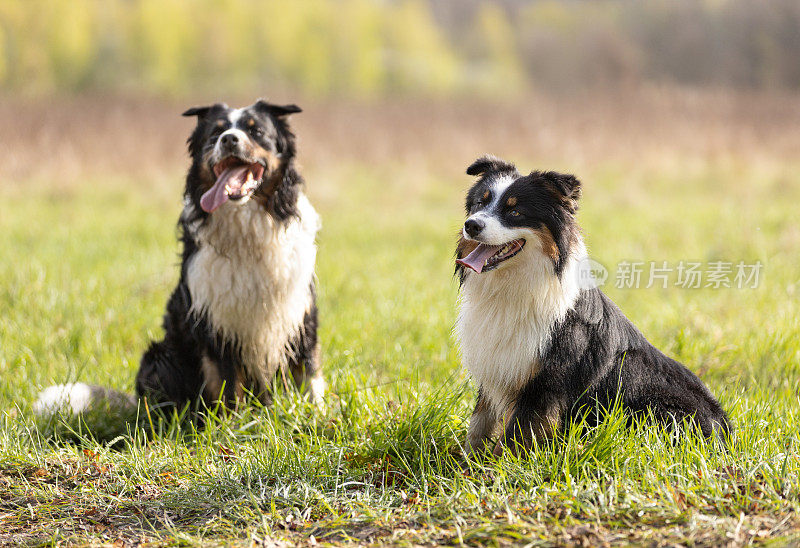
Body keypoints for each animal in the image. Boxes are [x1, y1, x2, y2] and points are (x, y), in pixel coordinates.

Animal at [34, 99, 322, 416]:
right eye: (215, 133)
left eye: (256, 131)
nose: (229, 139)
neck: (247, 231)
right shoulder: (218, 323)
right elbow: (229, 388)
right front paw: (234, 425)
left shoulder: (299, 314)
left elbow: (309, 376)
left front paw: (319, 416)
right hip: (160, 356)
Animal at [456, 155, 732, 458]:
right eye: (480, 203)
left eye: (515, 212)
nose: (471, 225)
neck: (514, 285)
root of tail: (725, 430)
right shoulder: (495, 369)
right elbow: (478, 426)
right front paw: (465, 463)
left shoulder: (545, 384)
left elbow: (513, 440)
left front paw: (495, 469)